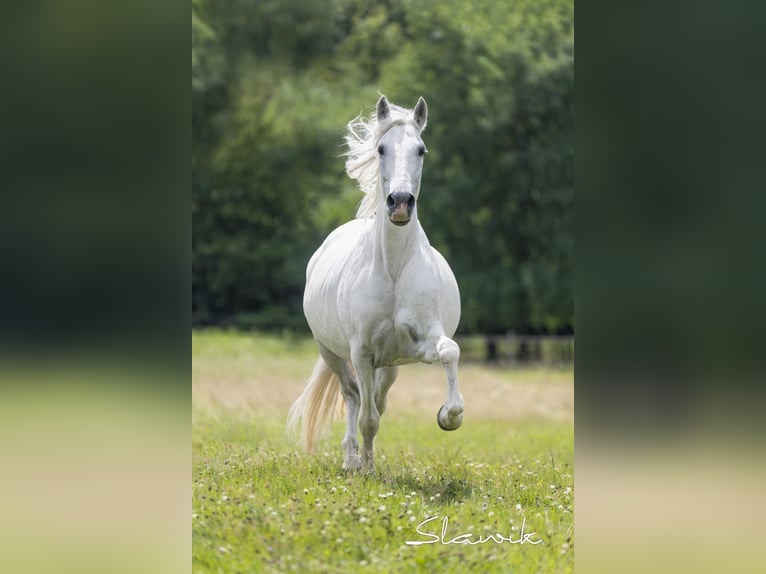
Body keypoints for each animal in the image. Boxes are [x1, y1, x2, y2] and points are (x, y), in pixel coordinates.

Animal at [287, 95, 464, 472]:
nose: (400, 203)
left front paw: (448, 416)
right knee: (353, 396)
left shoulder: (420, 342)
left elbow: (449, 351)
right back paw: (352, 459)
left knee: (376, 401)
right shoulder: (362, 351)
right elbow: (367, 416)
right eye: (381, 148)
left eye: (421, 150)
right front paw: (366, 469)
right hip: (332, 353)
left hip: (391, 365)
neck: (393, 270)